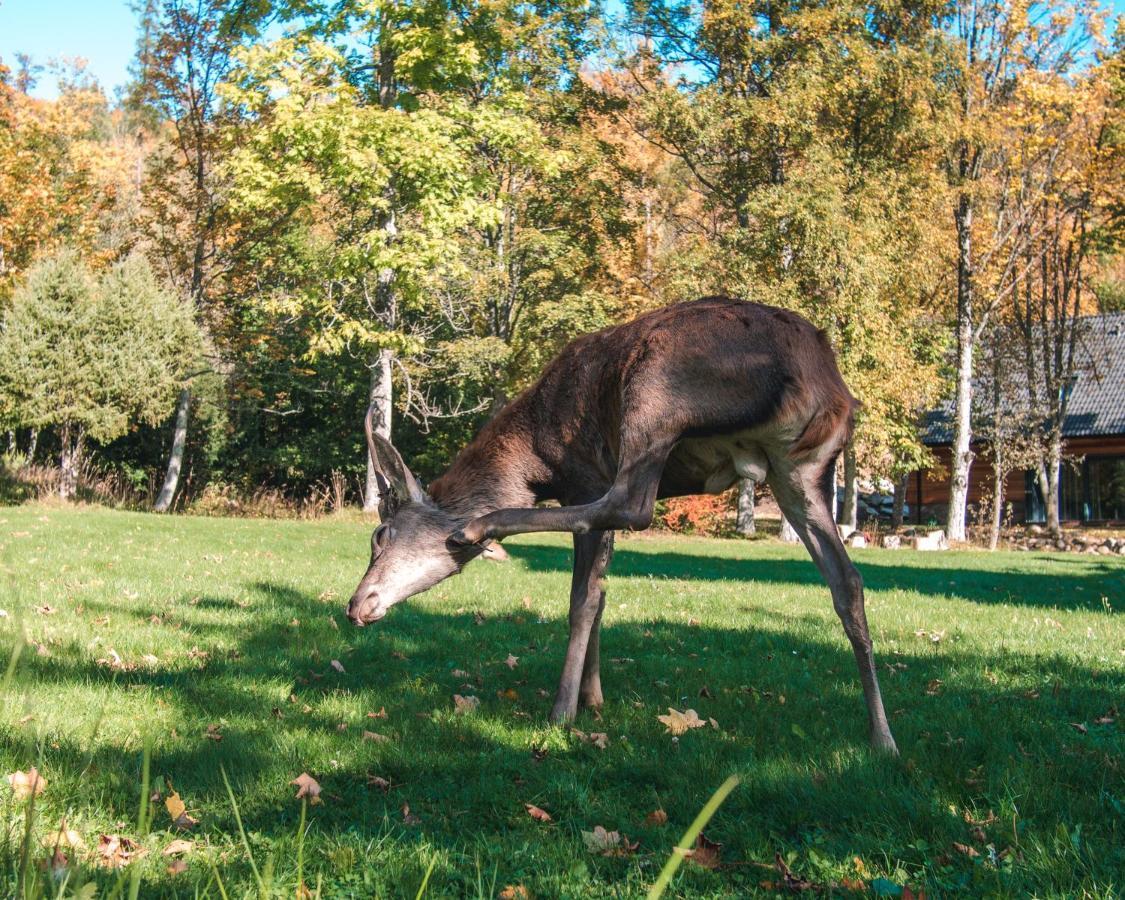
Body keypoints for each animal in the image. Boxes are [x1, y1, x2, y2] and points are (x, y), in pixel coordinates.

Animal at [346, 299, 900, 756]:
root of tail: (823, 382)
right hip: (800, 470)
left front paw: (565, 708)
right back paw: (882, 737)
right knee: (847, 580)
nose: (356, 604)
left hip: (655, 397)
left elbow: (583, 596)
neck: (533, 461)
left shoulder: (583, 480)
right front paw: (593, 696)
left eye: (380, 536)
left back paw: (481, 526)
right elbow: (602, 591)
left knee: (633, 503)